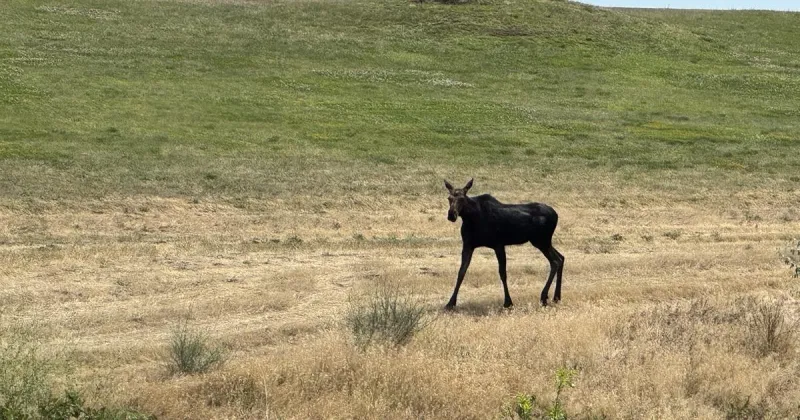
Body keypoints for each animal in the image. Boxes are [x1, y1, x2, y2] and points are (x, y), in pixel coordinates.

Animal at [443, 178, 564, 309]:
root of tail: (556, 215)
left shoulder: (498, 244)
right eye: (449, 198)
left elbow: (502, 273)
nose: (451, 215)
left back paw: (544, 297)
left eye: (462, 198)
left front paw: (508, 302)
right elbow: (461, 272)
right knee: (561, 257)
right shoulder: (468, 245)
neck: (471, 218)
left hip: (541, 241)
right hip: (544, 242)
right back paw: (556, 297)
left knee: (555, 261)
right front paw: (450, 303)